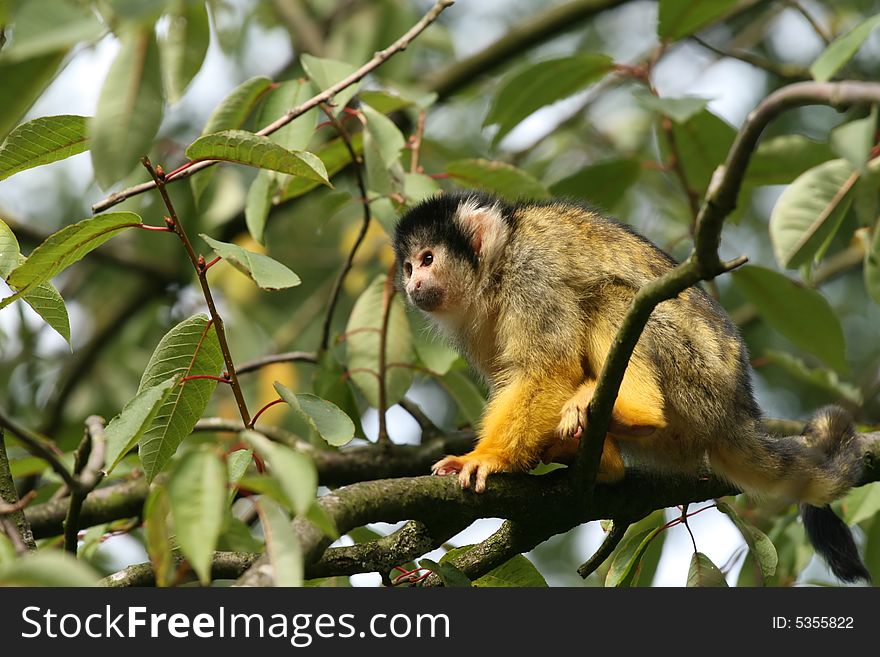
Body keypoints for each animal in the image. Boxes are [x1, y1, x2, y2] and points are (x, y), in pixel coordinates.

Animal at [394, 188, 872, 580]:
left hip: (695, 379)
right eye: (409, 265)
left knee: (614, 297)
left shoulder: (533, 274)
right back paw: (599, 459)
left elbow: (548, 368)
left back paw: (635, 413)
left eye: (428, 259)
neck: (496, 270)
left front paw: (486, 458)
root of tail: (737, 413)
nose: (412, 283)